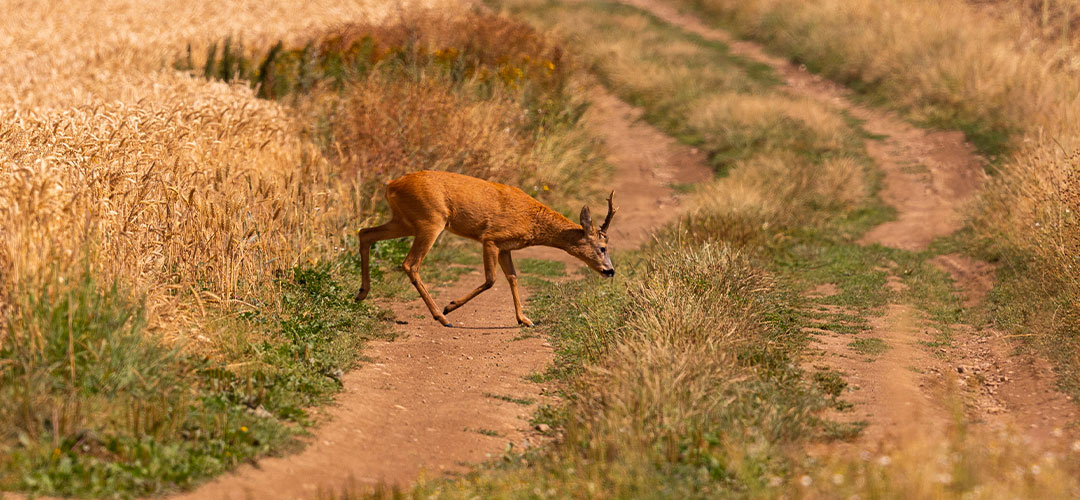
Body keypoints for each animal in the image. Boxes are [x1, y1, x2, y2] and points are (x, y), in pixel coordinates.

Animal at [354, 170, 616, 327]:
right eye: (602, 247)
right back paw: (441, 317)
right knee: (410, 263)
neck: (532, 221)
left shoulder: (506, 247)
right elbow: (491, 280)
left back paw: (361, 293)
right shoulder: (491, 238)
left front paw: (524, 319)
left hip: (404, 221)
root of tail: (391, 185)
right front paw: (451, 306)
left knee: (365, 233)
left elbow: (513, 277)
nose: (610, 271)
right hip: (430, 220)